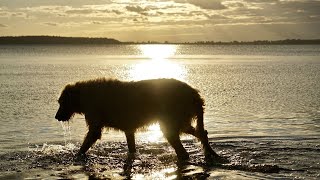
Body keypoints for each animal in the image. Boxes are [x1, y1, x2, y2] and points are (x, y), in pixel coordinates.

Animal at [55, 77, 221, 160]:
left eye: (61, 102)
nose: (57, 117)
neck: (84, 97)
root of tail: (195, 95)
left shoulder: (95, 115)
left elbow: (92, 135)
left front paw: (77, 154)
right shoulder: (128, 126)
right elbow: (131, 144)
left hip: (173, 115)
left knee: (178, 140)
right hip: (181, 116)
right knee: (199, 131)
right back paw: (210, 152)